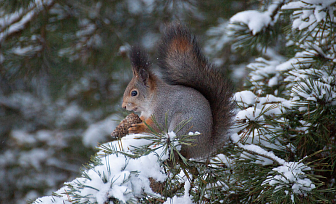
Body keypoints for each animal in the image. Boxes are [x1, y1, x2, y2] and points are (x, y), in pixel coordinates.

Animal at [121, 23, 234, 158]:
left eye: (134, 93)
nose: (123, 106)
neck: (152, 99)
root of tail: (204, 147)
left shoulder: (163, 109)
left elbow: (156, 125)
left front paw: (137, 128)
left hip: (182, 123)